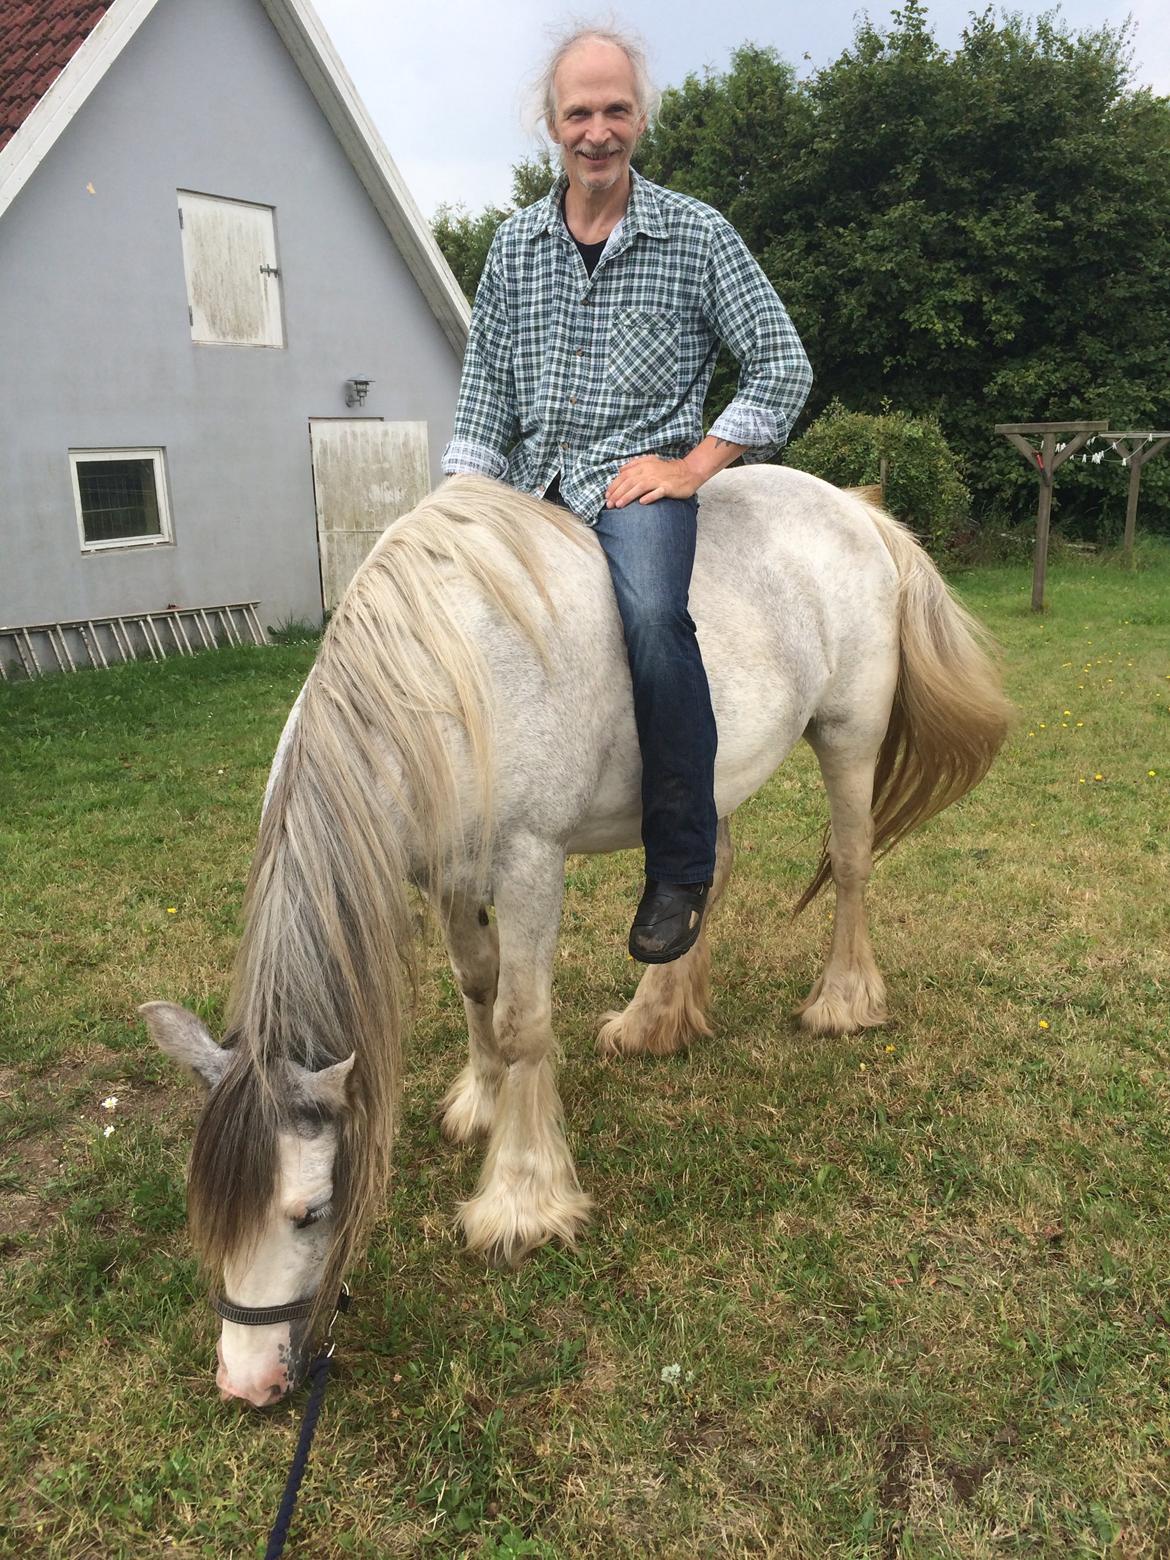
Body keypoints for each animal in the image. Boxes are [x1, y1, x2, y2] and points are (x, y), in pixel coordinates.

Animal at [144, 461, 1010, 1404]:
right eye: (203, 1214)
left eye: (310, 1212)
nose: (247, 1381)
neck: (442, 688)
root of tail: (852, 508)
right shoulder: (448, 876)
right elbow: (476, 985)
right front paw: (481, 1105)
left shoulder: (529, 863)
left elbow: (524, 1022)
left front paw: (521, 1201)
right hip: (711, 777)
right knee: (704, 876)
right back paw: (655, 1020)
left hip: (849, 735)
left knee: (850, 862)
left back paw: (843, 1002)